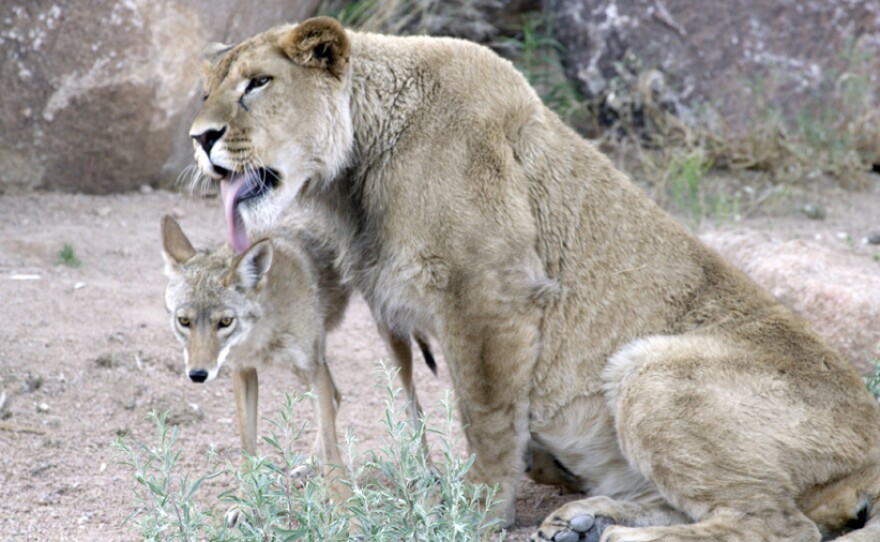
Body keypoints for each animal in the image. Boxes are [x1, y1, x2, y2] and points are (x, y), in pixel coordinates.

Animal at [187, 15, 880, 540]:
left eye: (258, 84)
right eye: (206, 91)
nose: (199, 137)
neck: (354, 171)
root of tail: (871, 447)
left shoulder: (489, 291)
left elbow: (485, 414)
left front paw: (469, 511)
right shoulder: (390, 306)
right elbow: (399, 408)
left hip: (651, 367)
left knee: (777, 525)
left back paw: (617, 534)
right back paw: (584, 521)